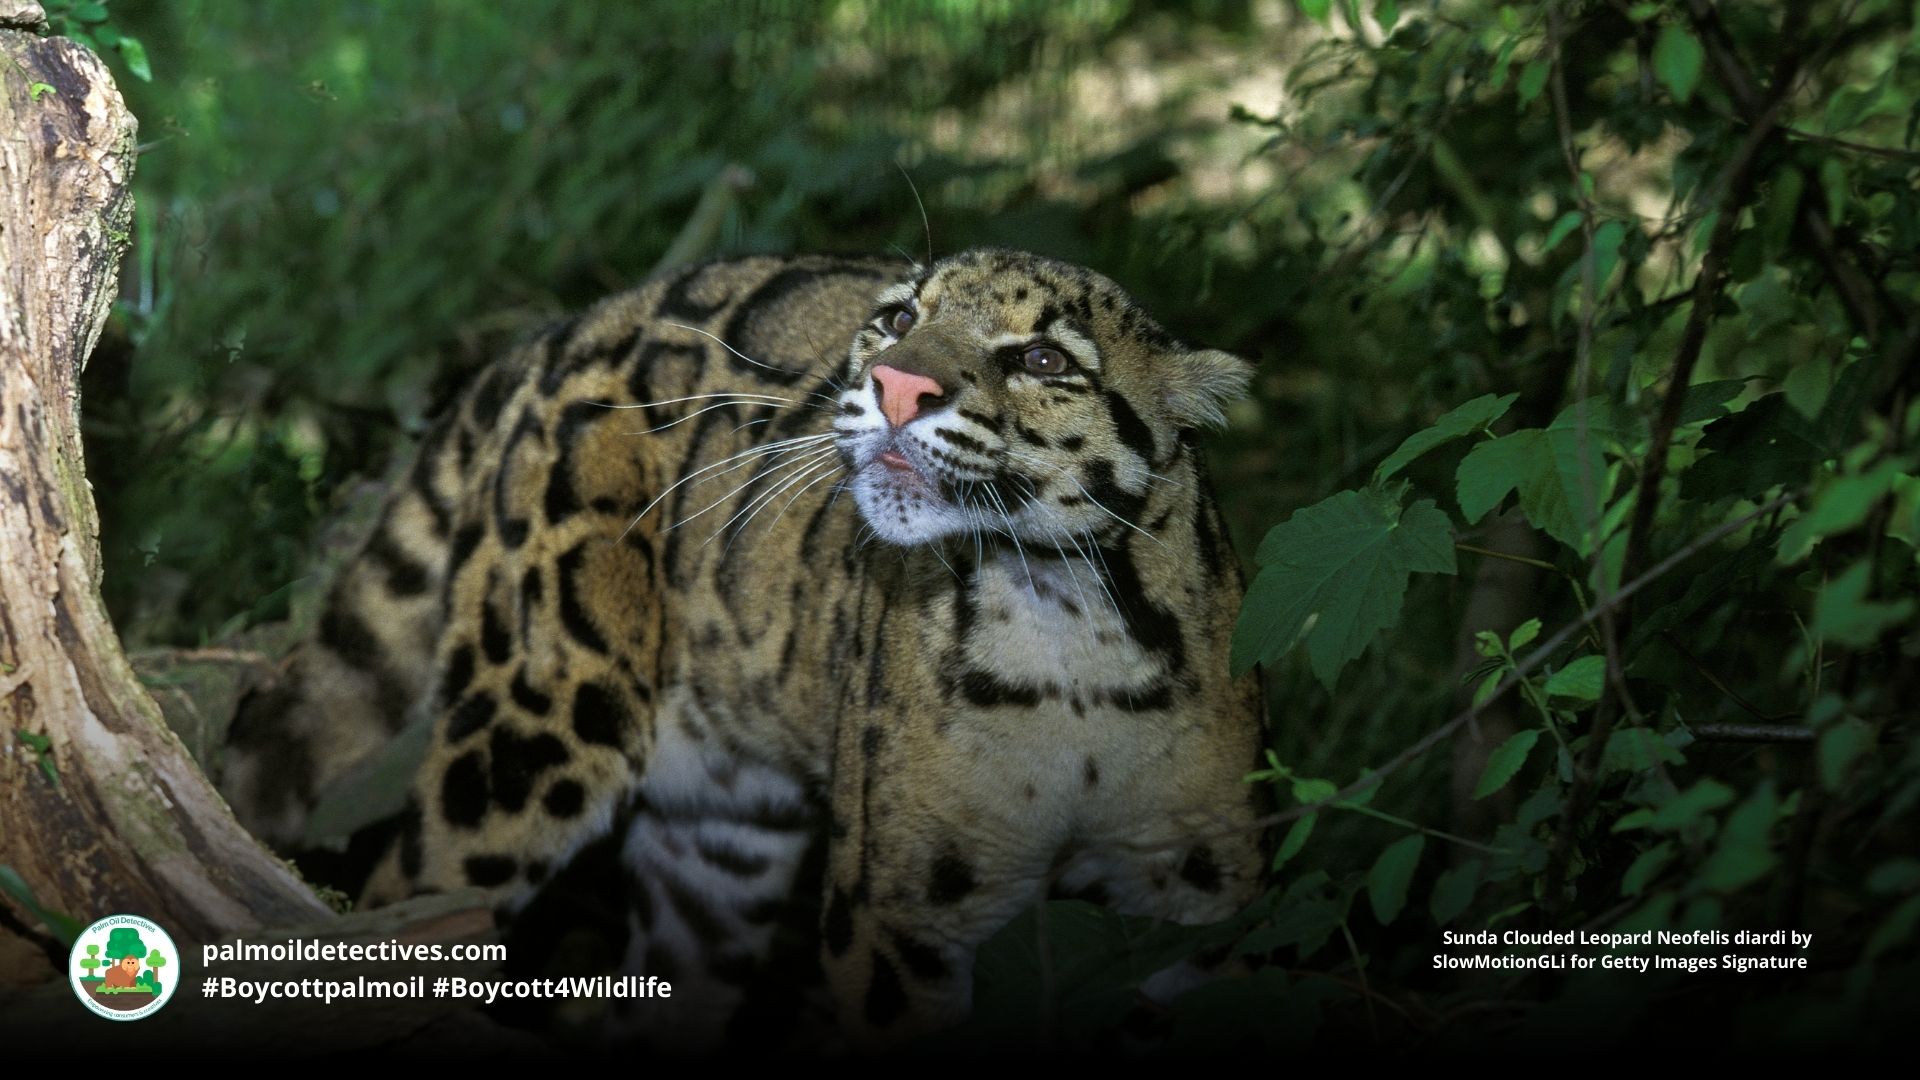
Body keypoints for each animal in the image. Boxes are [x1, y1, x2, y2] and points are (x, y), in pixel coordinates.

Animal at [219, 248, 1270, 1051]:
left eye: (1046, 358)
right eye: (897, 318)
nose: (897, 385)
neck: (1061, 632)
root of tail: (568, 327)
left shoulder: (1207, 899)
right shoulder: (898, 923)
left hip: (717, 841)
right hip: (533, 729)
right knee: (403, 896)